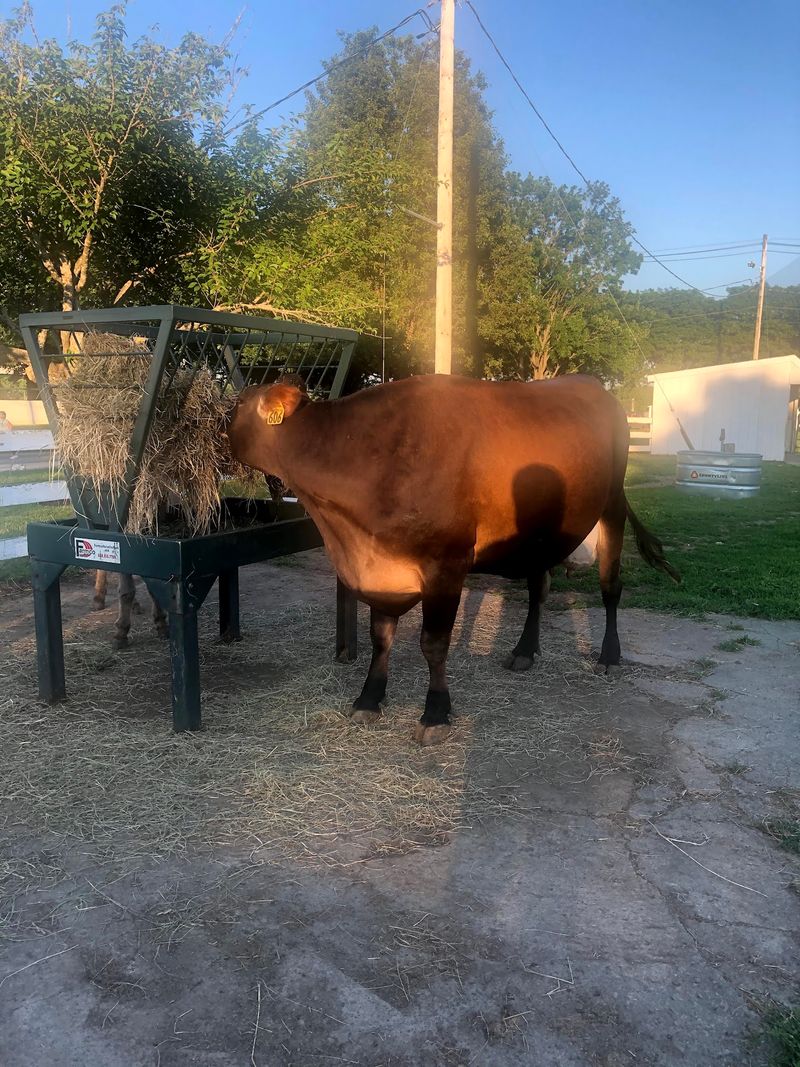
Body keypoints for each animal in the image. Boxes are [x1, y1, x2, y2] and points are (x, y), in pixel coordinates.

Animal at [226, 374, 679, 745]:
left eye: (236, 404)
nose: (217, 424)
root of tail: (593, 385)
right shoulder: (381, 568)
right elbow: (380, 637)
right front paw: (369, 699)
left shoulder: (446, 565)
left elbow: (433, 643)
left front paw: (435, 714)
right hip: (539, 535)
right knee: (539, 588)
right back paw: (524, 651)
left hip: (612, 506)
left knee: (610, 587)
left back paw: (608, 657)